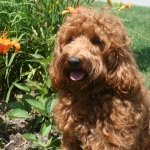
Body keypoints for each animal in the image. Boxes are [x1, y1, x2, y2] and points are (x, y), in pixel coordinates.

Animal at [50, 7, 150, 150]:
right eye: (70, 39)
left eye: (97, 41)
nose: (73, 61)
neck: (91, 95)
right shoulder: (70, 138)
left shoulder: (113, 142)